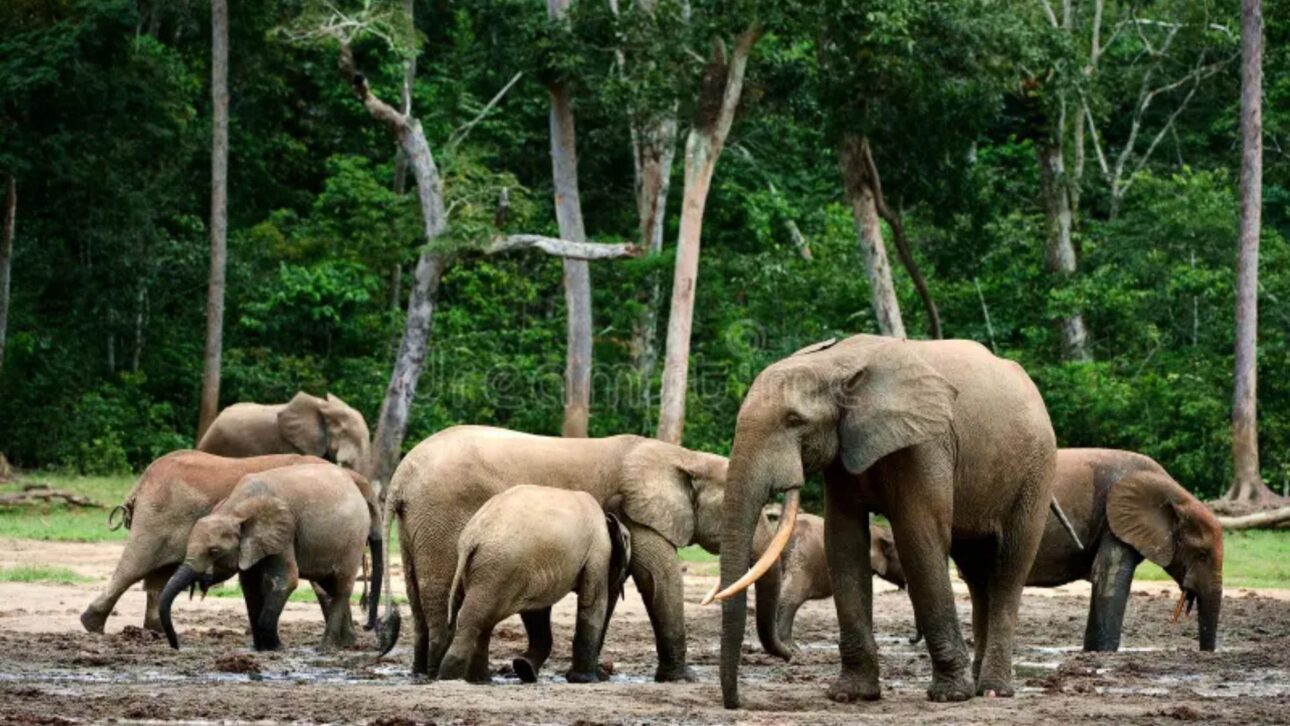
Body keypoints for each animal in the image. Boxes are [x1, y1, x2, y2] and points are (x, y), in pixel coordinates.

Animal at [81, 451, 329, 634]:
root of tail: (142, 481)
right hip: (157, 517)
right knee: (134, 566)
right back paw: (92, 625)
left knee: (158, 574)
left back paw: (156, 630)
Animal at [159, 462, 381, 651]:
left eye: (213, 551)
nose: (176, 646)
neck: (234, 508)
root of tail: (356, 480)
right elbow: (250, 585)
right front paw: (261, 649)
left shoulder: (284, 531)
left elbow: (285, 580)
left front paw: (276, 648)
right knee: (330, 585)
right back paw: (346, 643)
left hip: (353, 538)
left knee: (341, 585)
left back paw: (325, 648)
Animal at [440, 485, 632, 684]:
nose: (604, 673)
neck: (608, 519)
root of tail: (472, 539)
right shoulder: (598, 550)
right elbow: (592, 601)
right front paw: (587, 680)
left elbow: (536, 612)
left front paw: (524, 669)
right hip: (501, 567)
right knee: (476, 619)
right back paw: (450, 677)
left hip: (491, 568)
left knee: (484, 620)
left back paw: (479, 680)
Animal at [713, 335, 1057, 707]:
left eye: (793, 420)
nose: (736, 703)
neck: (837, 361)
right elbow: (844, 541)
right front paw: (850, 694)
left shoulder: (926, 443)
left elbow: (918, 535)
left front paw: (950, 695)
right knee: (977, 573)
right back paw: (981, 683)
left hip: (1036, 469)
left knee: (1009, 567)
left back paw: (994, 689)